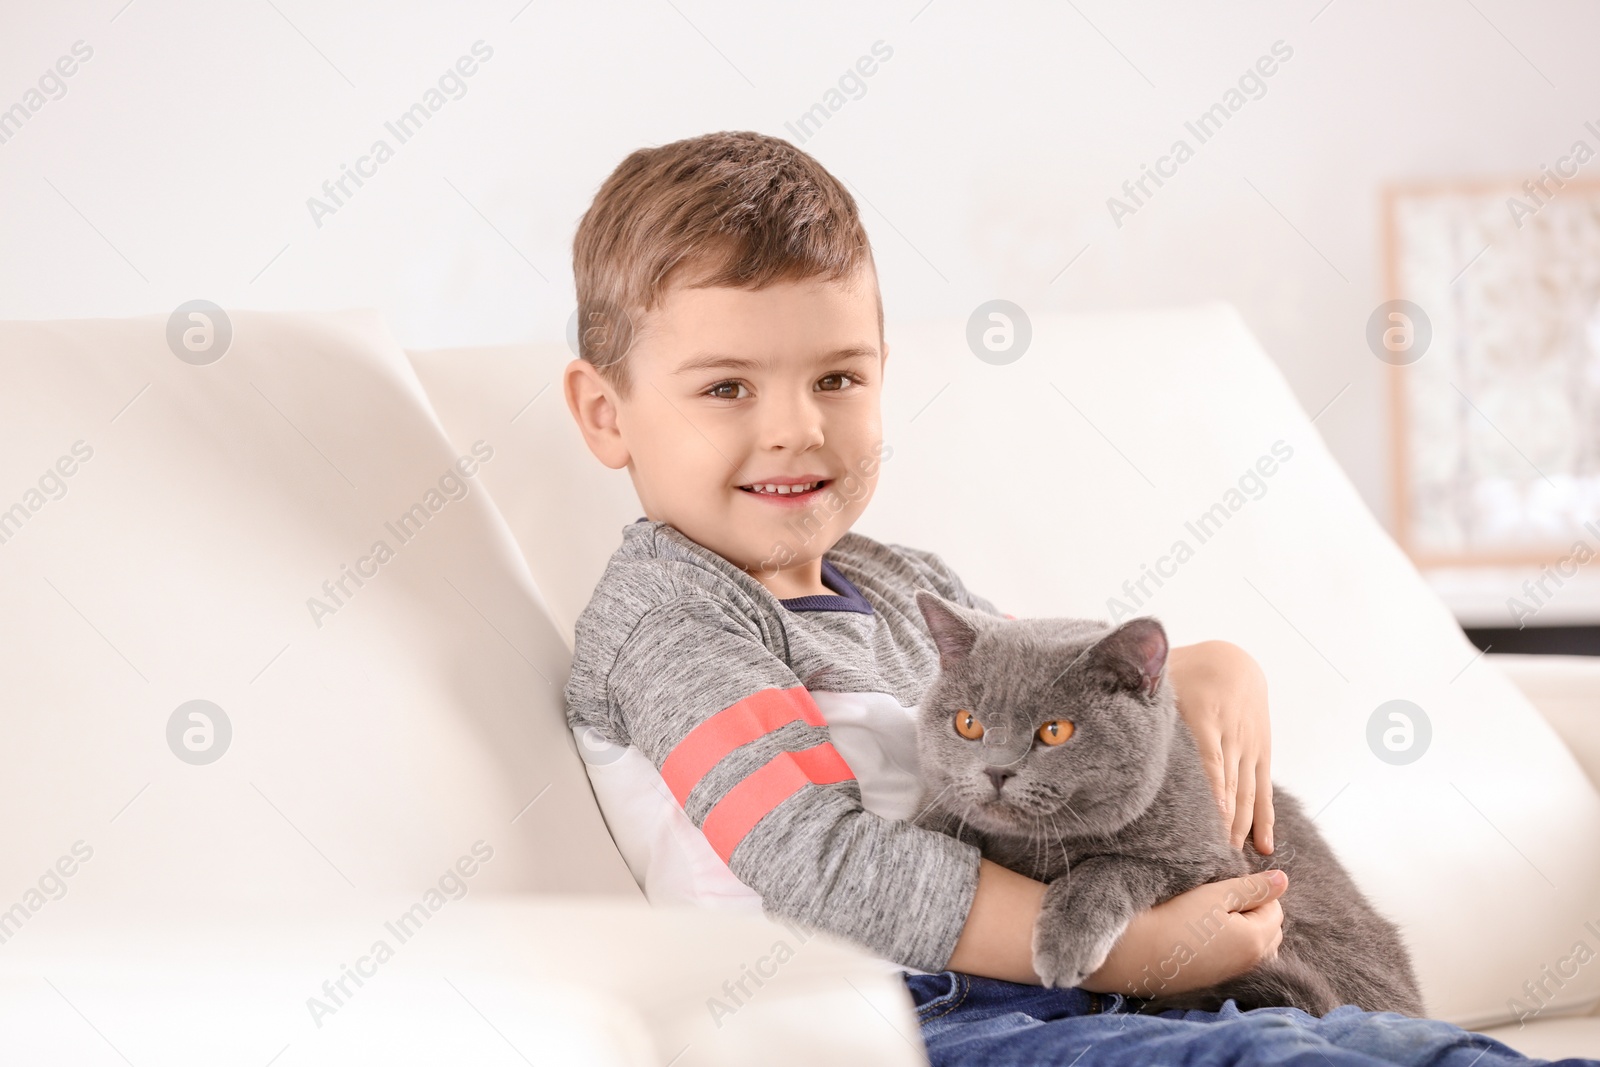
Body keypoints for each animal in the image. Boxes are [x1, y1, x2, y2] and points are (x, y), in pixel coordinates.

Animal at [915, 591, 1427, 1017]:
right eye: (967, 724)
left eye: (1055, 731)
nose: (996, 771)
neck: (1035, 847)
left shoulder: (1221, 868)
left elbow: (1111, 866)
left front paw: (1065, 943)